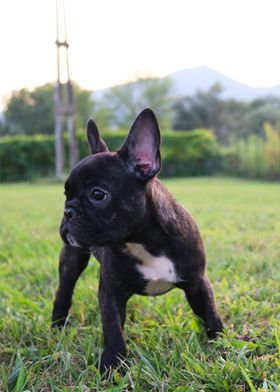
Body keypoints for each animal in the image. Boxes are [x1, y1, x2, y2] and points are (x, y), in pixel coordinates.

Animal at [52, 108, 223, 374]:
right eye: (65, 194)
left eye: (98, 194)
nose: (68, 212)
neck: (143, 240)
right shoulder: (111, 292)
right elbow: (113, 330)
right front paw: (112, 366)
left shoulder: (197, 282)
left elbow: (210, 314)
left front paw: (222, 346)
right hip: (72, 258)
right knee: (64, 290)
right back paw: (57, 326)